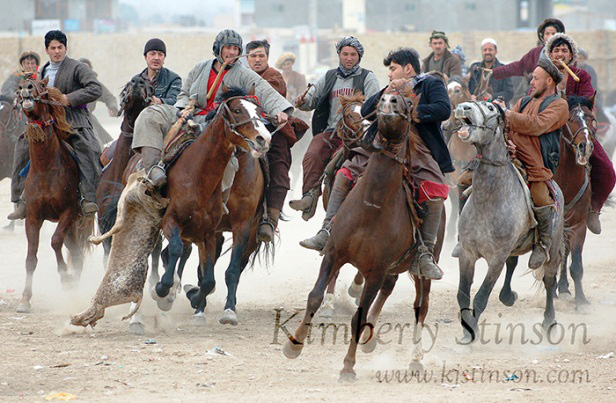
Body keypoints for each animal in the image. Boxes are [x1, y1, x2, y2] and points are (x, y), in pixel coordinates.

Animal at [13, 76, 94, 316]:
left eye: (42, 87)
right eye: (20, 87)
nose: (25, 88)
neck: (46, 167)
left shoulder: (69, 211)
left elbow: (55, 241)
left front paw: (65, 277)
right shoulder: (32, 216)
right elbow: (31, 256)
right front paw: (25, 299)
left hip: (74, 221)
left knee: (72, 251)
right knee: (76, 254)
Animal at [282, 90, 446, 382]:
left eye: (408, 104)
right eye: (379, 100)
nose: (389, 100)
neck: (373, 204)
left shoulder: (376, 270)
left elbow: (358, 316)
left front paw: (348, 366)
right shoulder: (334, 254)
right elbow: (315, 295)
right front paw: (295, 344)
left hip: (421, 268)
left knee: (421, 305)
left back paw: (415, 359)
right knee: (389, 290)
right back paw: (370, 338)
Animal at [452, 99, 564, 342]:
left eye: (490, 108)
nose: (463, 106)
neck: (488, 201)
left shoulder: (496, 259)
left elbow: (481, 297)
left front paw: (472, 332)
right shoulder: (467, 254)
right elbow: (463, 295)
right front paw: (466, 330)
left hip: (552, 249)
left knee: (550, 281)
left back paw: (549, 322)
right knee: (512, 264)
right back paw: (507, 295)